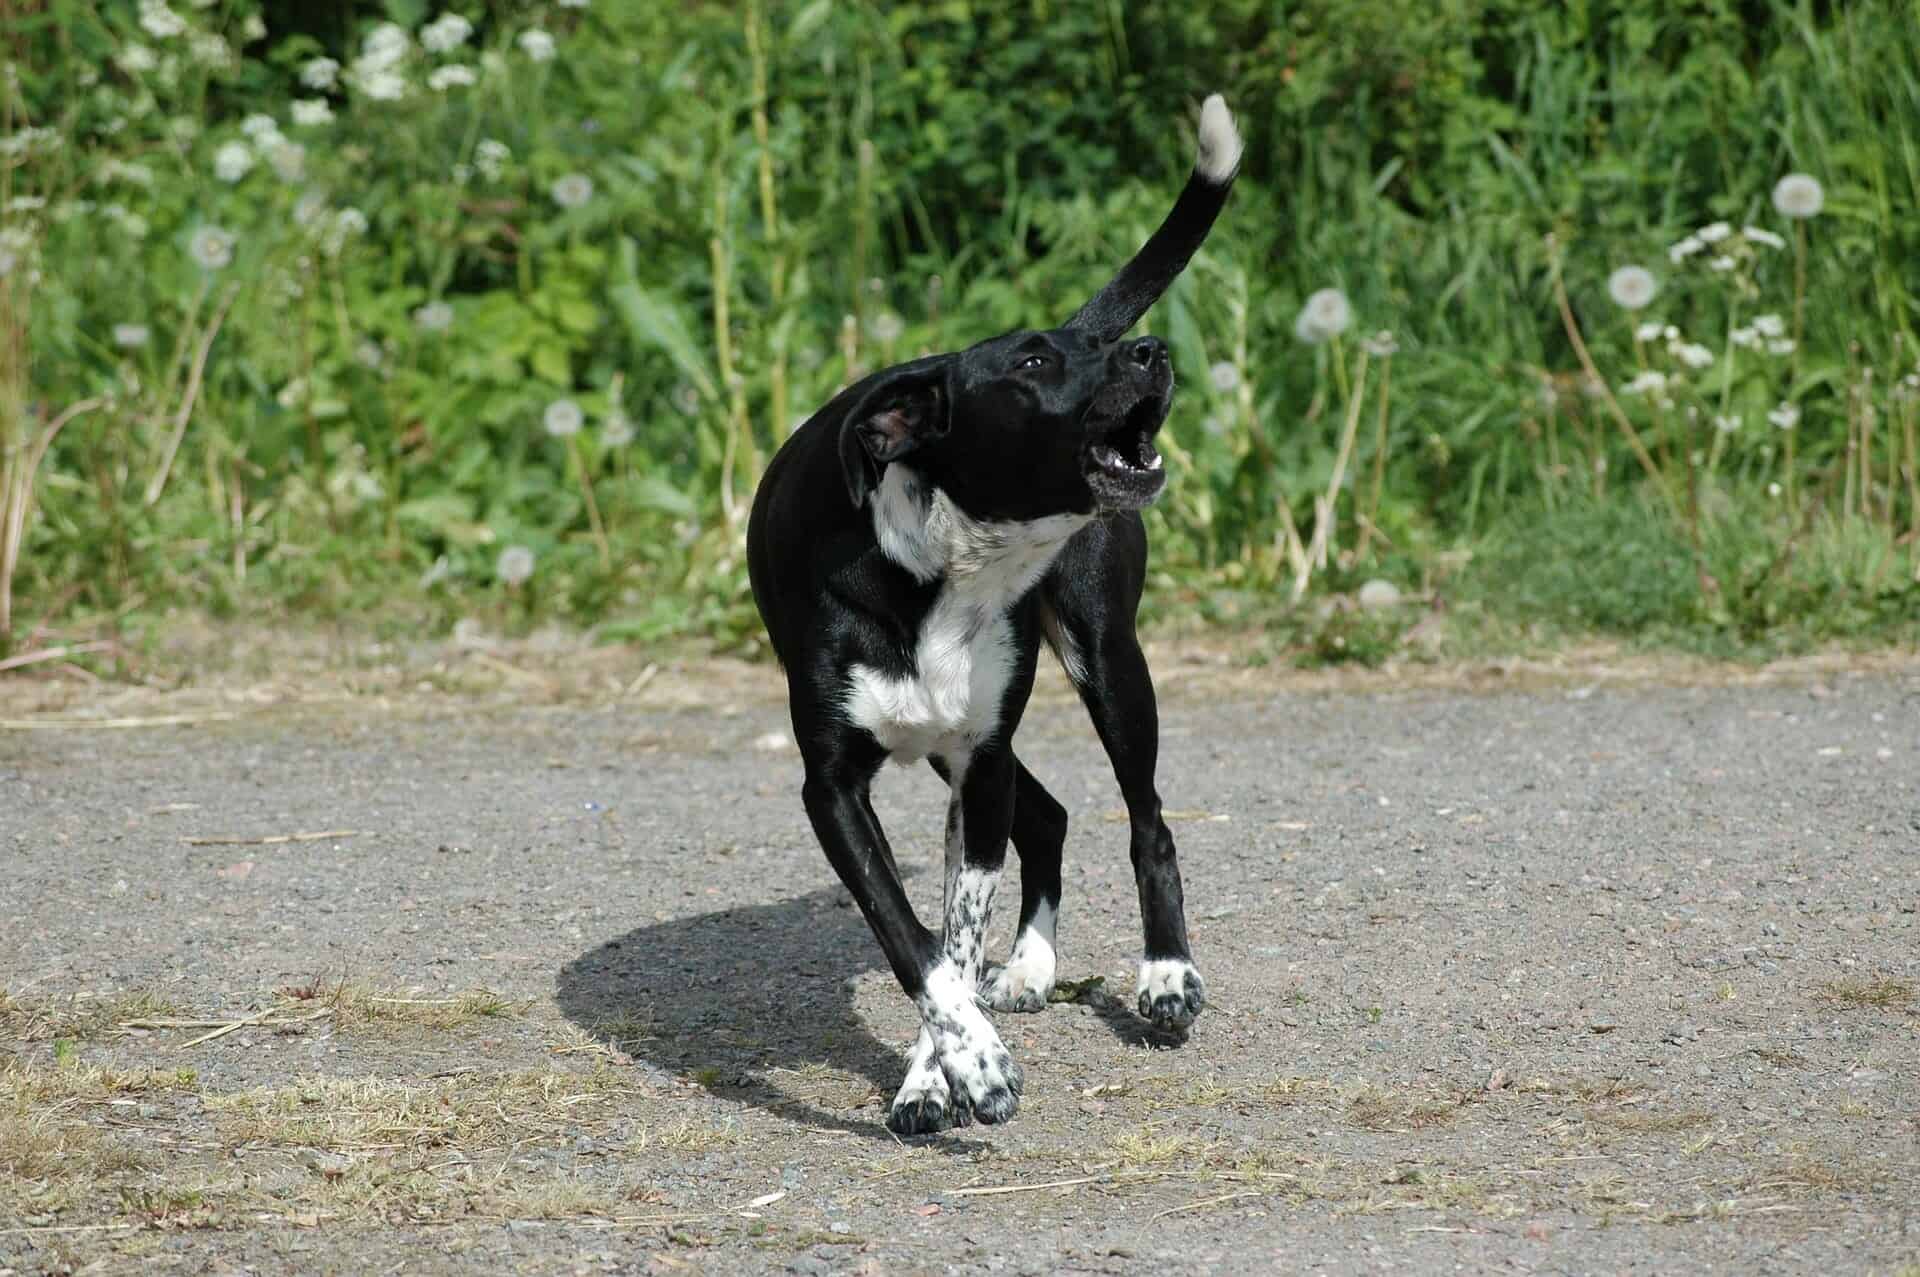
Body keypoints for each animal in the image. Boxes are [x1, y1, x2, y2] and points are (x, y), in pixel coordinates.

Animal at [741, 94, 1236, 1129]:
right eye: (1037, 358)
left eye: (1089, 348)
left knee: (1148, 817)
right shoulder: (839, 787)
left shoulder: (980, 763)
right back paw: (1034, 968)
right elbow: (916, 942)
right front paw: (961, 1064)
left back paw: (1165, 974)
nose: (1148, 350)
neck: (941, 563)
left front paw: (949, 1069)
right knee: (1048, 816)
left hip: (1105, 661)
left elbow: (952, 936)